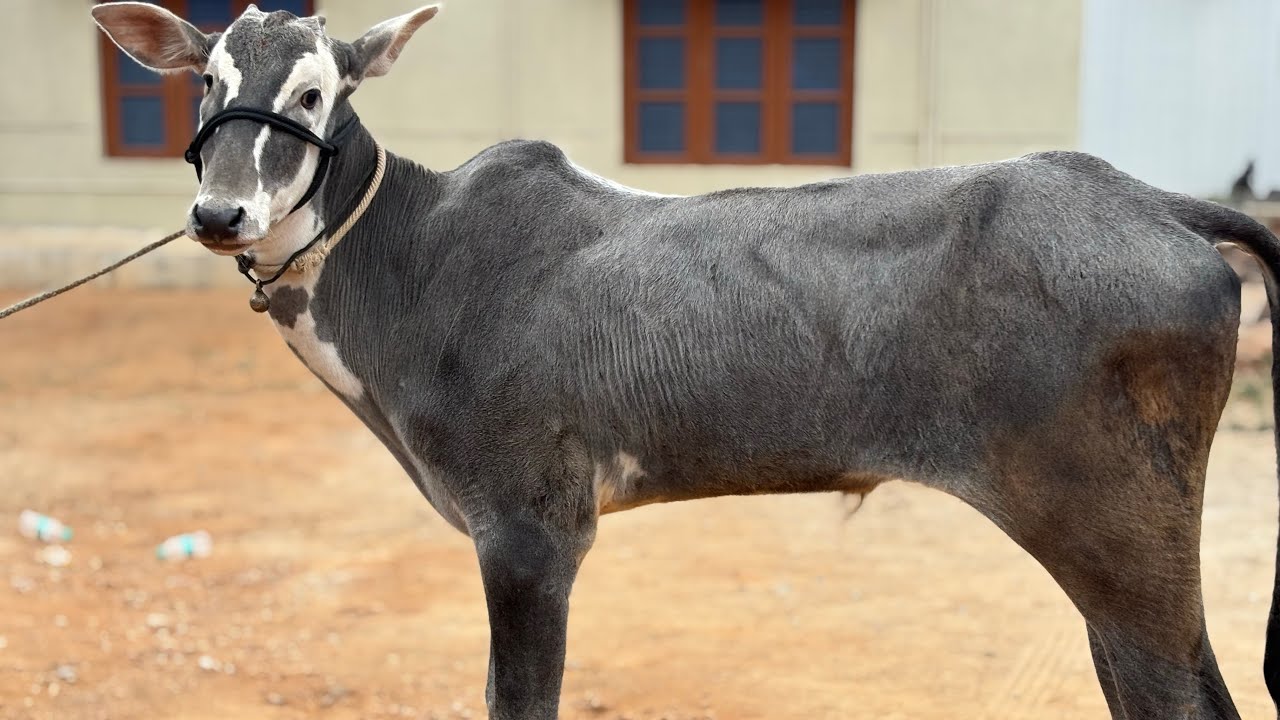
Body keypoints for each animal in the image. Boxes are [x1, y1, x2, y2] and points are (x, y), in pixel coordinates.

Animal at [90, 3, 1280, 719]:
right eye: (206, 84)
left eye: (314, 95)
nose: (221, 213)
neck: (412, 254)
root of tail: (1156, 204)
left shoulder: (529, 531)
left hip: (1112, 530)